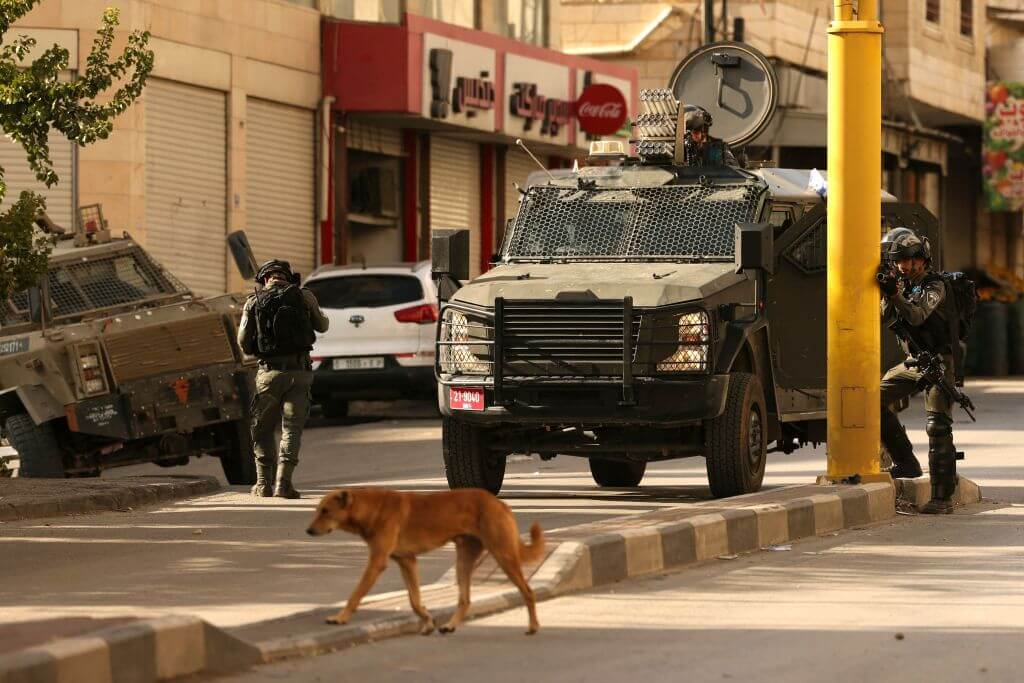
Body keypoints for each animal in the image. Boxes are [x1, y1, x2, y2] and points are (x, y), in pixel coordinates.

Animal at [303, 485, 544, 634]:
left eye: (326, 511)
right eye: (317, 510)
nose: (308, 531)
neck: (371, 509)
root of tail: (499, 503)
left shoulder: (377, 562)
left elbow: (356, 594)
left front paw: (340, 617)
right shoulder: (407, 561)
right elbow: (414, 600)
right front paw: (428, 621)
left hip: (503, 555)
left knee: (528, 592)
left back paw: (533, 626)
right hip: (464, 561)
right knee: (465, 600)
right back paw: (450, 625)